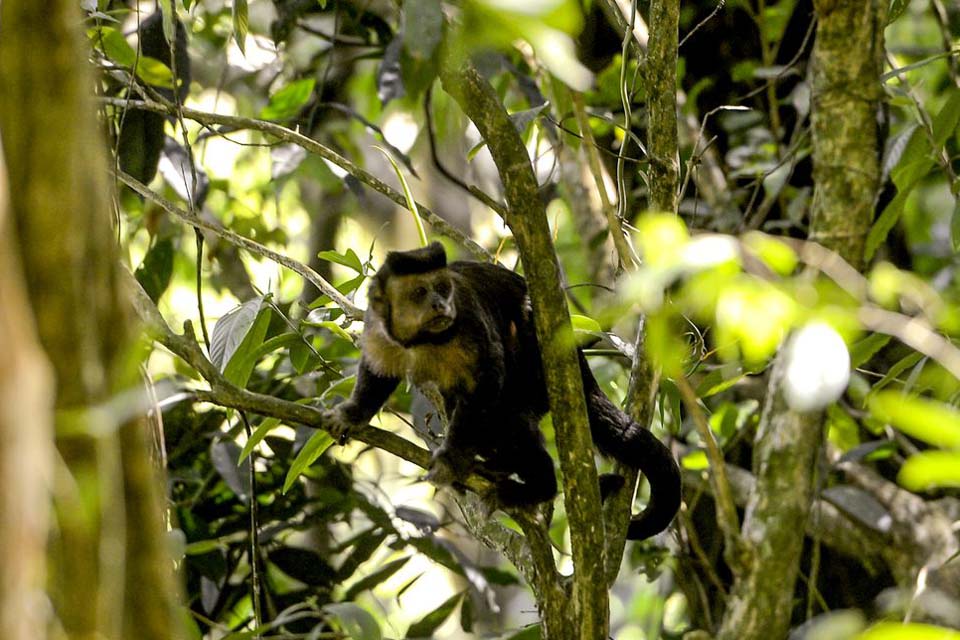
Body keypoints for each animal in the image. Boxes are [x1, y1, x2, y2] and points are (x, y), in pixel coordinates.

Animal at [324, 242, 684, 536]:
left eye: (442, 288)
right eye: (420, 292)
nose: (440, 304)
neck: (421, 338)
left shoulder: (466, 318)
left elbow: (487, 378)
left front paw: (451, 460)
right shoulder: (378, 324)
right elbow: (379, 372)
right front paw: (353, 414)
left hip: (536, 368)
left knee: (506, 415)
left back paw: (538, 486)